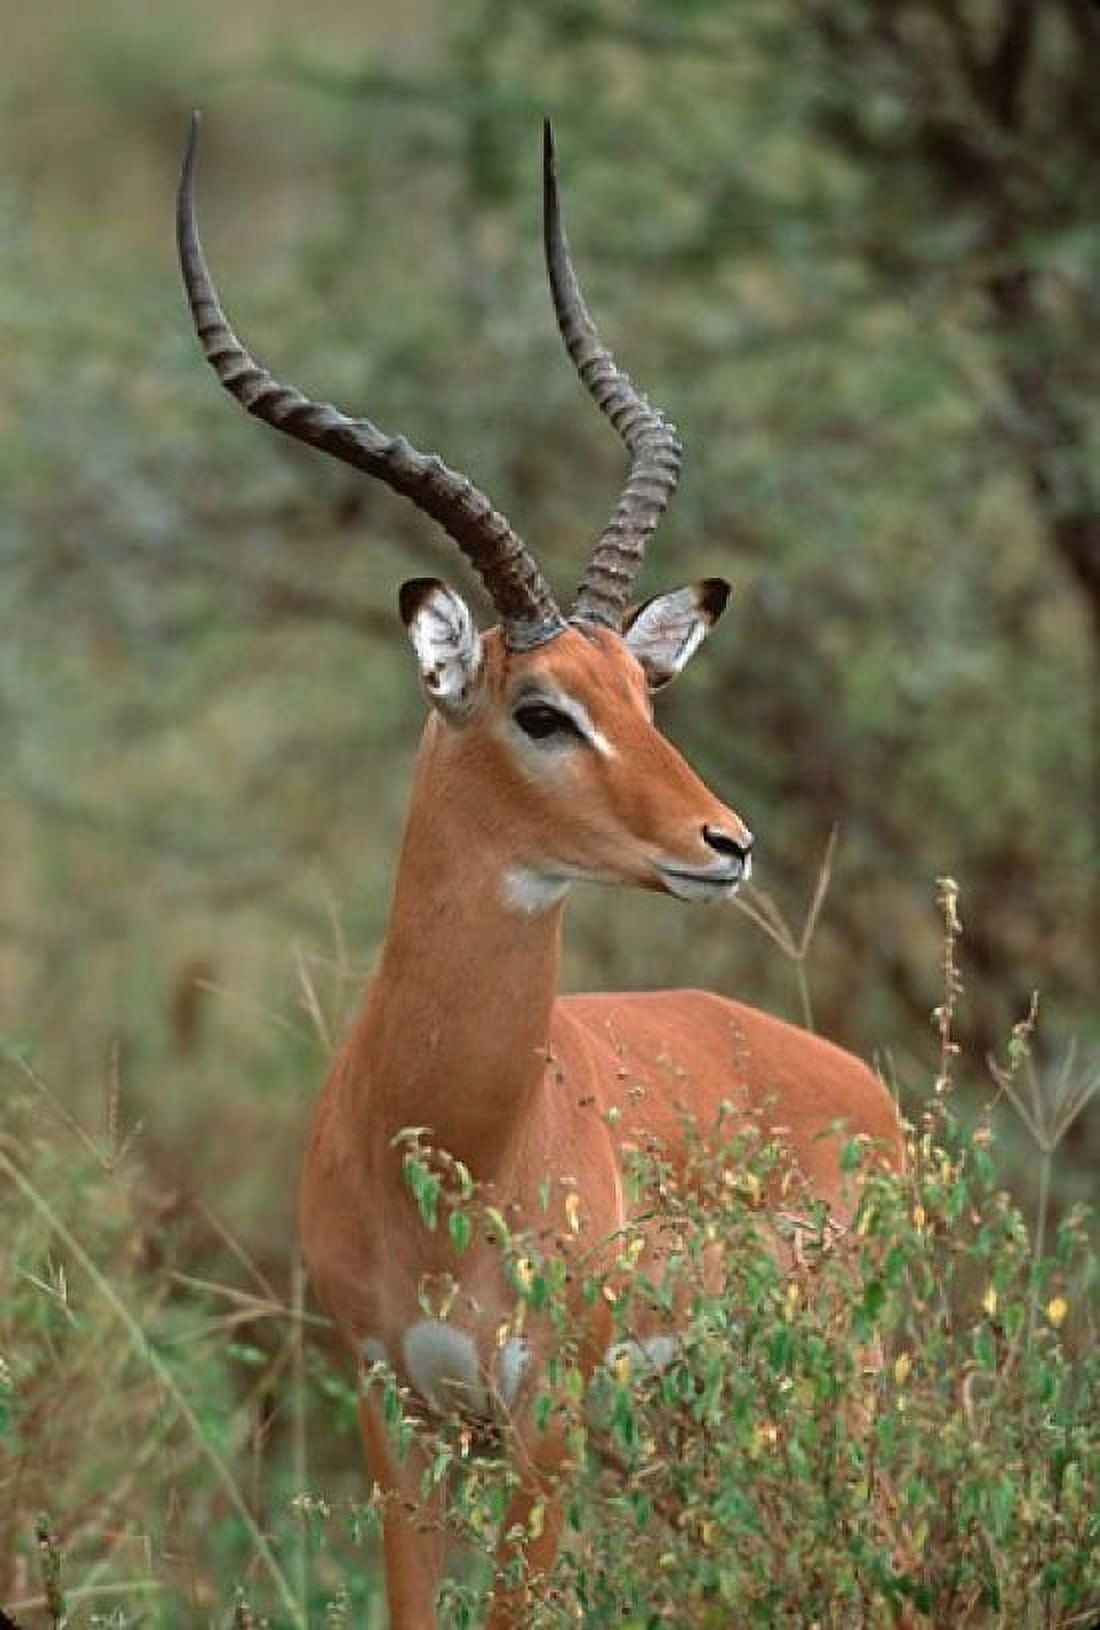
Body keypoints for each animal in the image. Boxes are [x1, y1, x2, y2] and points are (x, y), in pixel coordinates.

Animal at [177, 114, 903, 1628]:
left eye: (643, 686)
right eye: (541, 709)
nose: (727, 842)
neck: (452, 1134)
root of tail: (856, 1085)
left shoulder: (544, 1425)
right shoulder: (396, 1411)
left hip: (834, 1403)